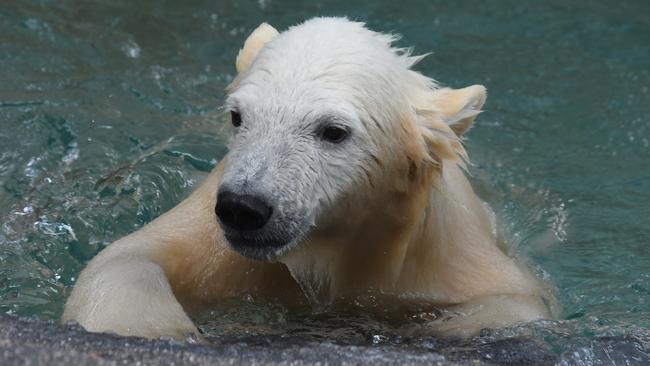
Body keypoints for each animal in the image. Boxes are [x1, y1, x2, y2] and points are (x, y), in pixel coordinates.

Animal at [63, 17, 548, 340]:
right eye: (238, 116)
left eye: (333, 131)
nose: (244, 208)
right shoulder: (222, 240)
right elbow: (131, 258)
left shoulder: (441, 259)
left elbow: (512, 304)